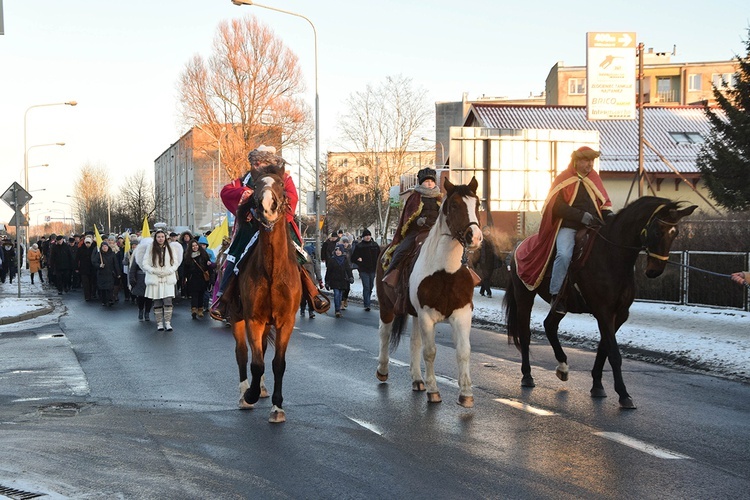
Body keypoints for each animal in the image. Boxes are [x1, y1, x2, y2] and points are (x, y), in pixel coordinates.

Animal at [229, 164, 302, 422]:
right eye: (257, 184)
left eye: (280, 183)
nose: (267, 205)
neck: (271, 271)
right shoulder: (253, 319)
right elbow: (256, 363)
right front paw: (249, 395)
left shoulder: (284, 321)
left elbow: (277, 363)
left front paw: (277, 407)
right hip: (237, 317)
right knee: (243, 353)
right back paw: (245, 393)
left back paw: (260, 387)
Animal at [376, 178, 488, 408]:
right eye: (454, 205)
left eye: (476, 204)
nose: (475, 237)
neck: (446, 271)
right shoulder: (427, 316)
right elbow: (430, 352)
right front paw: (434, 391)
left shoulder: (462, 314)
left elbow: (463, 351)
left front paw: (466, 394)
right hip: (387, 307)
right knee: (384, 334)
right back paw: (382, 370)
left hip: (415, 314)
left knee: (414, 341)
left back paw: (418, 380)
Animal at [506, 194, 700, 406]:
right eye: (657, 231)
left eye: (675, 233)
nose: (654, 270)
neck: (612, 255)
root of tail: (519, 245)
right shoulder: (603, 311)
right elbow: (614, 353)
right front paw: (623, 394)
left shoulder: (619, 314)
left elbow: (604, 348)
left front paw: (598, 385)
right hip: (525, 296)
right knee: (525, 334)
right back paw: (527, 376)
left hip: (561, 305)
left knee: (550, 325)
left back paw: (563, 366)